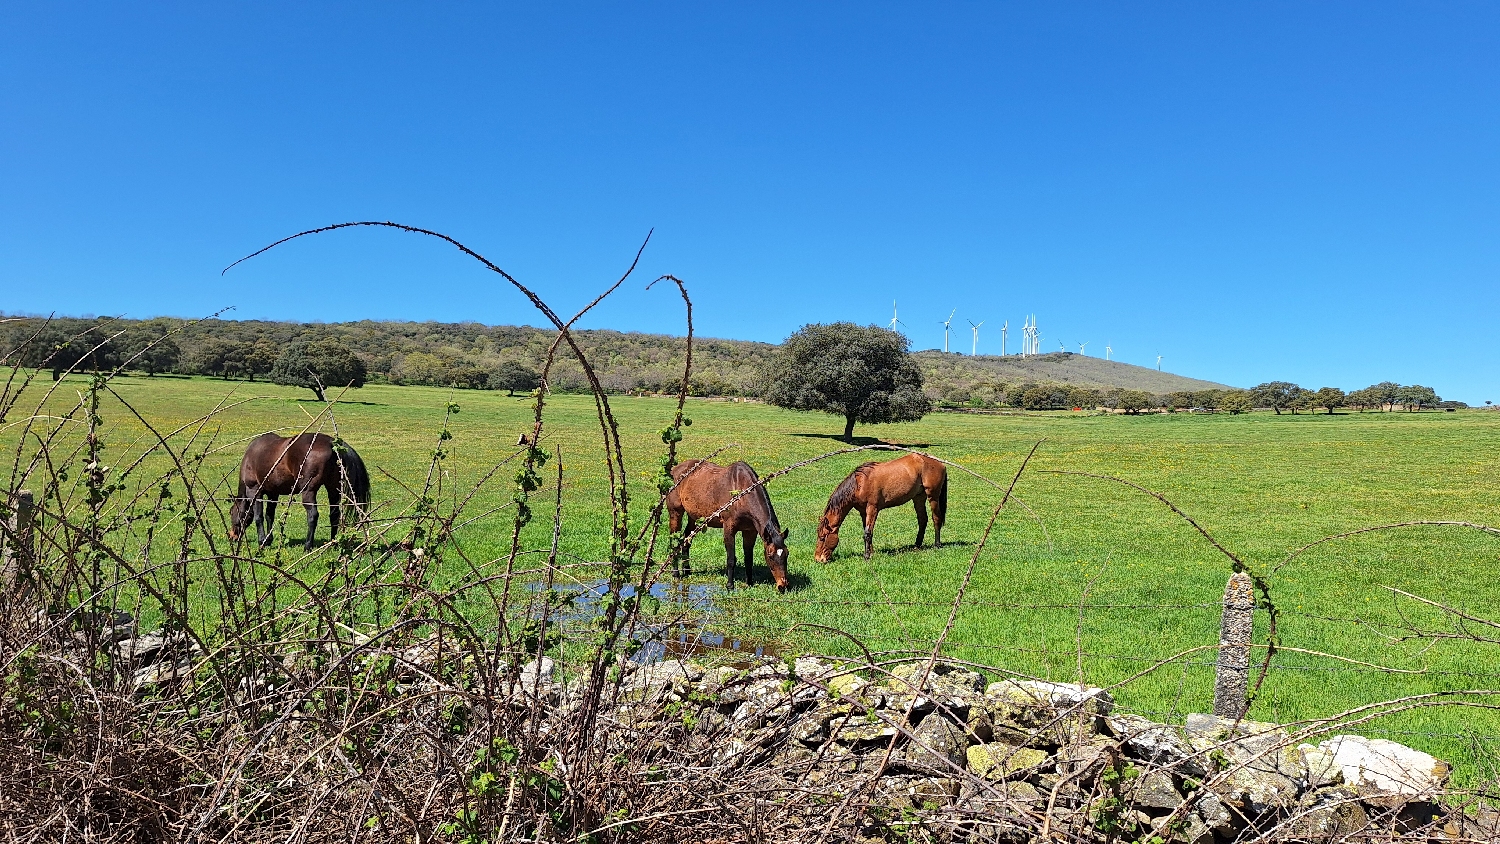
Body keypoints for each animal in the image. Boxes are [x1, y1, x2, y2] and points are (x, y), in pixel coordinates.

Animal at [228, 431, 369, 551]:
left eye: (231, 512)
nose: (232, 536)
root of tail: (331, 442)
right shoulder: (273, 493)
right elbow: (269, 516)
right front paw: (268, 540)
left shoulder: (255, 491)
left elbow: (259, 517)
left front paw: (262, 541)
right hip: (333, 490)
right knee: (334, 515)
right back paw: (332, 543)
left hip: (308, 491)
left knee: (313, 515)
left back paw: (307, 546)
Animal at [663, 458, 792, 590]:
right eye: (770, 555)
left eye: (786, 554)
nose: (783, 586)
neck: (741, 492)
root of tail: (674, 470)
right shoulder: (729, 528)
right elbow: (731, 558)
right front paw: (730, 585)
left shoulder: (750, 531)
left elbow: (748, 558)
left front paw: (749, 583)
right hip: (675, 513)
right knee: (674, 542)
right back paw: (676, 574)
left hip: (694, 518)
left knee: (686, 541)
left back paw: (687, 571)